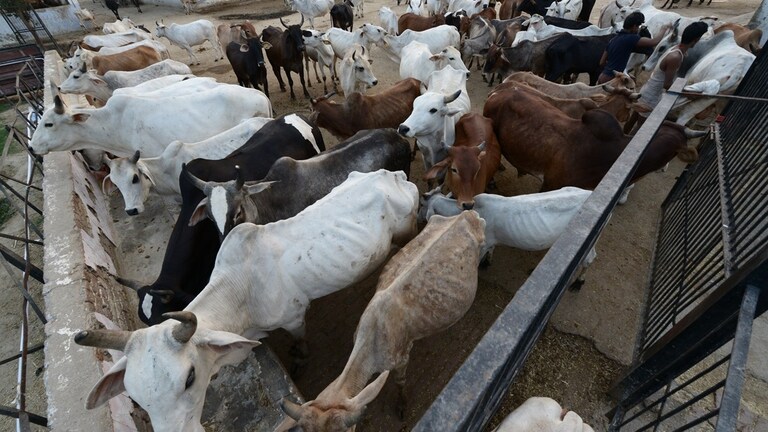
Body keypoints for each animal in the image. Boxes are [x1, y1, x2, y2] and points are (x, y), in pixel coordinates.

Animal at [74, 169, 418, 432]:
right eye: (134, 395)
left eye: (189, 378)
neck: (241, 290)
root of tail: (394, 176)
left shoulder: (294, 318)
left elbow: (300, 344)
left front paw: (299, 360)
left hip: (407, 231)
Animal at [278, 211, 485, 432]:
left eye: (346, 430)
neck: (372, 340)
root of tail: (466, 214)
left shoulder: (401, 357)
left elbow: (400, 381)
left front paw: (402, 405)